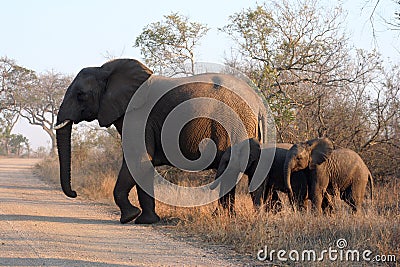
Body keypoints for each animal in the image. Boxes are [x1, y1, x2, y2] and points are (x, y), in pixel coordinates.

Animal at [54, 58, 268, 224]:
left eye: (80, 95)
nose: (75, 193)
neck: (107, 71)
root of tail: (259, 104)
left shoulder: (138, 116)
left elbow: (137, 161)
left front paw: (130, 217)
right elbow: (143, 164)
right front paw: (146, 220)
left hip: (236, 126)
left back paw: (222, 218)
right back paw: (225, 218)